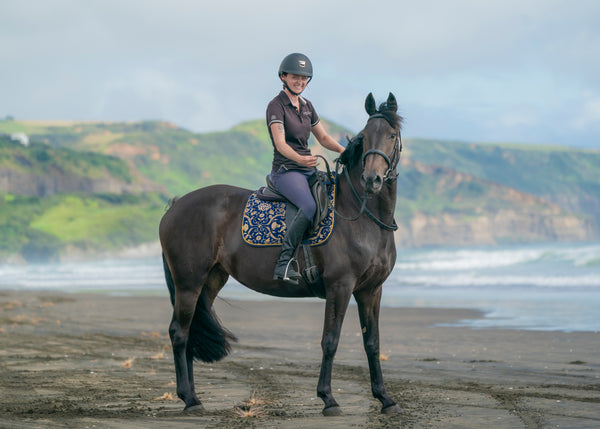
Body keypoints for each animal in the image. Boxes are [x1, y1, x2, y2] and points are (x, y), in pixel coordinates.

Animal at [159, 91, 404, 414]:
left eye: (391, 135)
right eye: (365, 136)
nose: (372, 180)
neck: (362, 215)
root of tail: (175, 205)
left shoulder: (371, 290)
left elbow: (372, 343)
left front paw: (385, 398)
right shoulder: (340, 286)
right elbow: (330, 340)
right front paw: (328, 399)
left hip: (210, 280)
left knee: (191, 333)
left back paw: (194, 398)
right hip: (188, 282)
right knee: (180, 333)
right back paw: (188, 398)